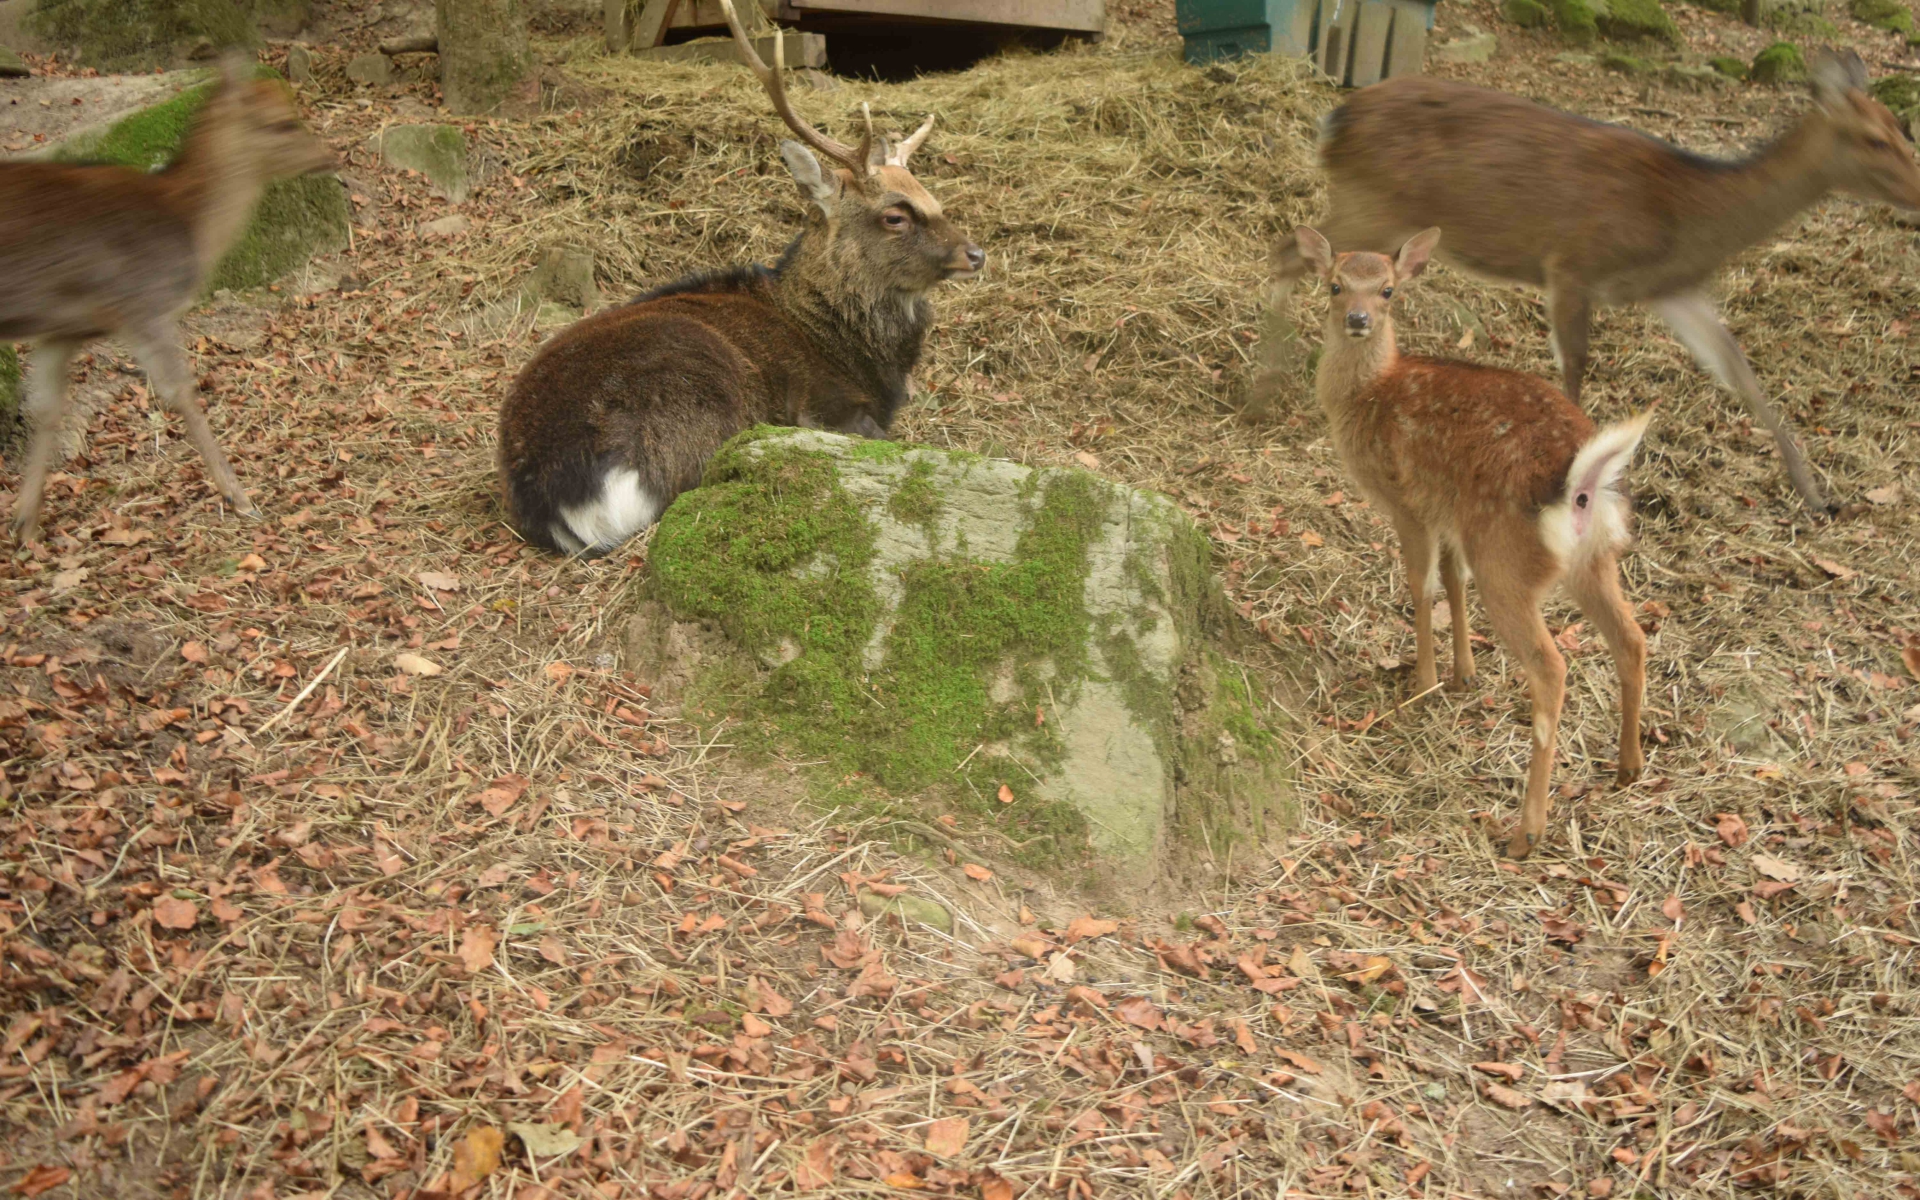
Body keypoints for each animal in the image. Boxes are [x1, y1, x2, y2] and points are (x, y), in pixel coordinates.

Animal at [0, 53, 336, 541]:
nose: (331, 156)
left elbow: (46, 409)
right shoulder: (144, 304)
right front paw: (240, 497)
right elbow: (180, 391)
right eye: (282, 123)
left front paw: (26, 524)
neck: (188, 219)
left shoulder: (64, 328)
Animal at [495, 0, 983, 556]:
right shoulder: (823, 405)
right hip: (702, 395)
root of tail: (566, 494)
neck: (860, 353)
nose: (976, 254)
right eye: (895, 215)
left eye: (932, 197)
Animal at [1274, 50, 1920, 514]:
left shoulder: (1673, 289)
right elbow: (1574, 367)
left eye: (1901, 128)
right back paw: (1265, 385)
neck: (1687, 215)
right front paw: (1572, 480)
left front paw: (1819, 497)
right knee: (1292, 253)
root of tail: (1333, 119)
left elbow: (1738, 369)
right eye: (1872, 138)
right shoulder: (1572, 264)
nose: (1915, 191)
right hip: (1371, 203)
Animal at [1297, 226, 1658, 860]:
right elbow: (1451, 580)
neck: (1371, 393)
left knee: (1552, 668)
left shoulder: (1409, 503)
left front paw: (1422, 683)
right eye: (1335, 284)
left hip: (1506, 561)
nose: (1359, 319)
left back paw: (1525, 832)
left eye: (1388, 289)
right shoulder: (1450, 513)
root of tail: (1580, 486)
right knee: (1633, 638)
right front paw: (1464, 673)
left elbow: (1419, 585)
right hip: (1594, 558)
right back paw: (1628, 766)